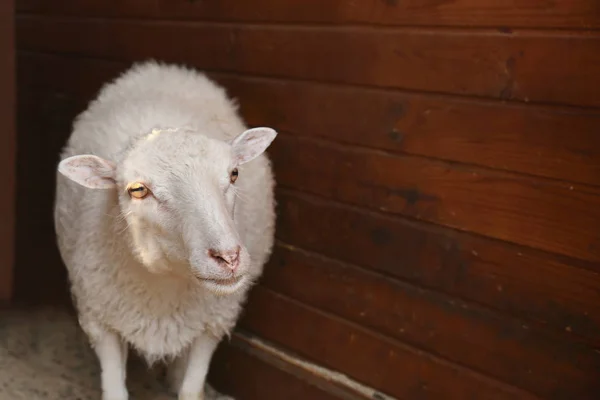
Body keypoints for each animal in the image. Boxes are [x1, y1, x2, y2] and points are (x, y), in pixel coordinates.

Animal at [54, 60, 278, 400]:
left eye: (234, 173)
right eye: (137, 190)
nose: (228, 258)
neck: (165, 285)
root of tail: (164, 67)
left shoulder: (213, 322)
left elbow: (191, 389)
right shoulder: (102, 319)